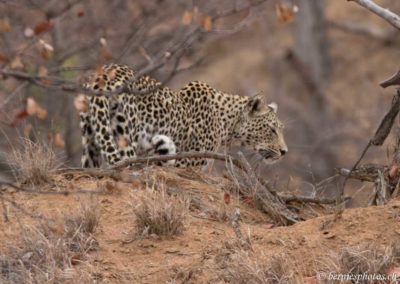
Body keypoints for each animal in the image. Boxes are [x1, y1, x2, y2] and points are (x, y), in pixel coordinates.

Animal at [79, 63, 288, 168]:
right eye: (272, 130)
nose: (285, 152)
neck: (227, 123)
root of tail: (103, 75)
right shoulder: (188, 164)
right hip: (124, 134)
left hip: (90, 139)